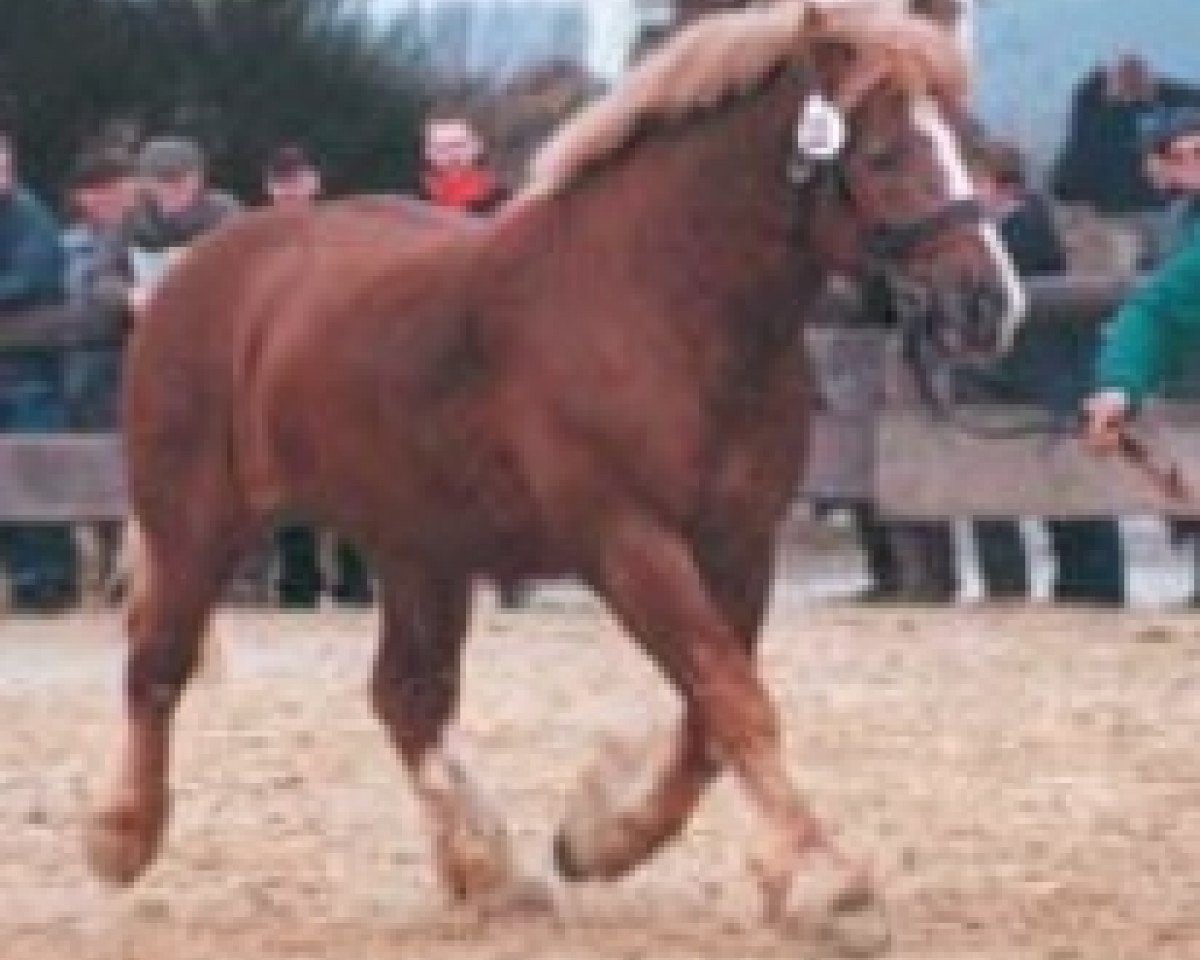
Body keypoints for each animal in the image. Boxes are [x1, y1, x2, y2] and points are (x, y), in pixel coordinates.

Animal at [85, 3, 1023, 954]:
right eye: (882, 154)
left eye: (973, 144)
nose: (987, 304)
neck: (658, 303)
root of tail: (200, 268)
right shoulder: (629, 544)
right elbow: (732, 696)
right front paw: (831, 885)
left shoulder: (739, 542)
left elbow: (710, 713)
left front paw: (601, 840)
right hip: (196, 524)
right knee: (157, 667)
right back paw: (122, 837)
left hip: (420, 550)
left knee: (407, 697)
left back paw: (489, 872)